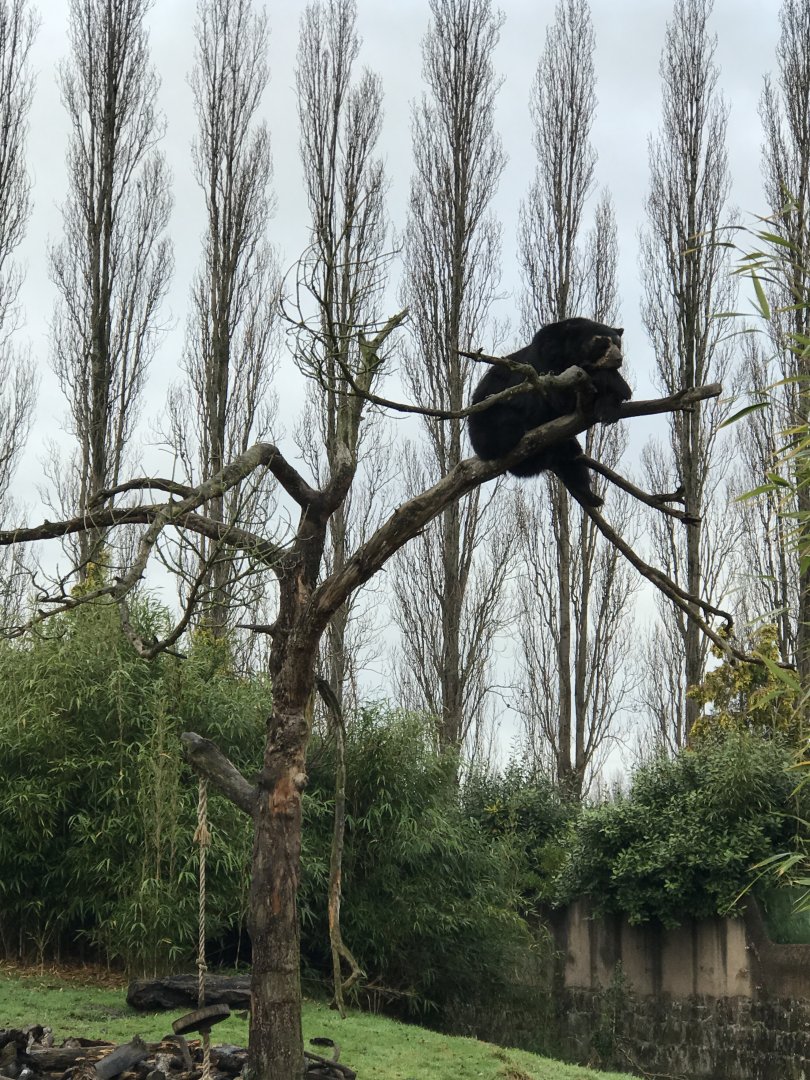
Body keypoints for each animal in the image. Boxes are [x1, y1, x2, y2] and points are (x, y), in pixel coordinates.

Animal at [467, 317, 631, 508]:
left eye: (618, 344)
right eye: (602, 343)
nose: (618, 359)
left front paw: (609, 409)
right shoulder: (547, 367)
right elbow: (560, 399)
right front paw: (616, 383)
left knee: (573, 461)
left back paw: (591, 496)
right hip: (492, 420)